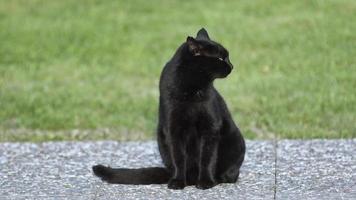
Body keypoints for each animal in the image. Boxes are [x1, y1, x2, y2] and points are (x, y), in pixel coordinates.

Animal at [93, 27, 246, 189]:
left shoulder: (210, 127)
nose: (232, 66)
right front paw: (178, 182)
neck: (191, 88)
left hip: (236, 141)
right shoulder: (173, 129)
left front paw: (206, 182)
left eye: (227, 57)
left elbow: (207, 158)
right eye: (221, 58)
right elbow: (178, 158)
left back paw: (220, 178)